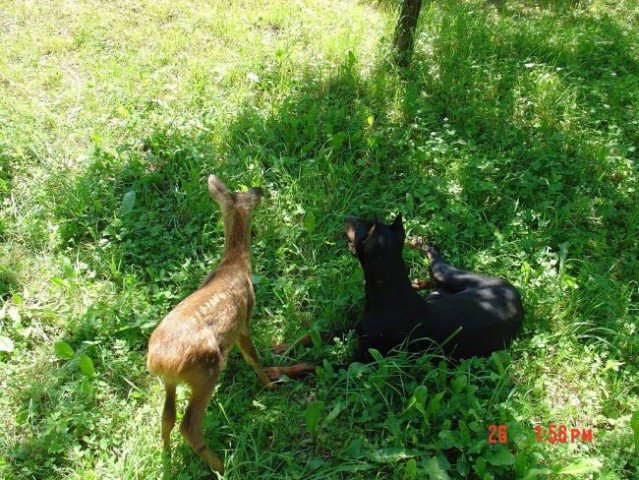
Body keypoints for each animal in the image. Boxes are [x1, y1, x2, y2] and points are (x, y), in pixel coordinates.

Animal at [264, 214, 524, 378]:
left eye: (360, 225)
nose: (347, 216)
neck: (388, 296)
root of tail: (515, 296)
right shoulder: (355, 328)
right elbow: (313, 336)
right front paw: (281, 347)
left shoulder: (358, 363)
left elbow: (313, 366)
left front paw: (277, 371)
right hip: (445, 288)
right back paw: (417, 264)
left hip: (448, 273)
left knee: (435, 256)